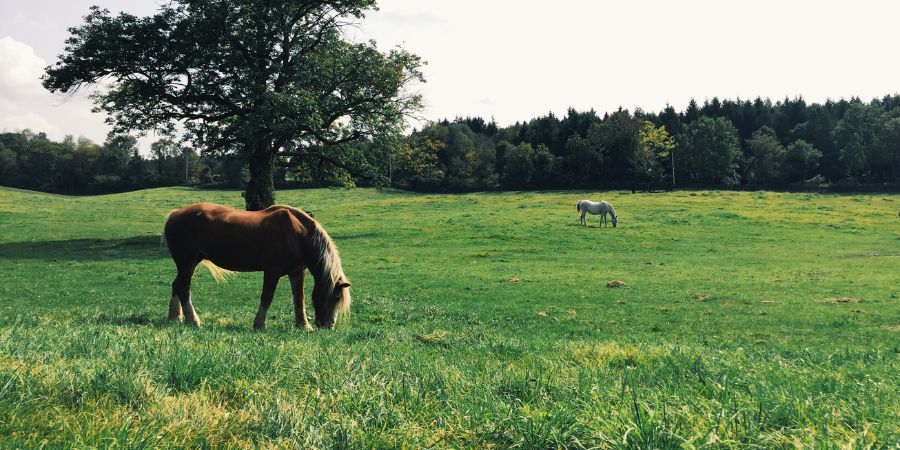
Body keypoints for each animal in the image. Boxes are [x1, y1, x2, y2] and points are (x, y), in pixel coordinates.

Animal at [160, 204, 350, 330]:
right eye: (336, 297)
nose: (329, 325)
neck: (296, 233)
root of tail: (174, 214)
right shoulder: (272, 271)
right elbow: (267, 297)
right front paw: (260, 325)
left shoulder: (297, 272)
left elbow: (299, 298)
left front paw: (303, 325)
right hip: (187, 262)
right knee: (184, 289)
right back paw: (193, 320)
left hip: (190, 263)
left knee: (176, 285)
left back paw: (175, 318)